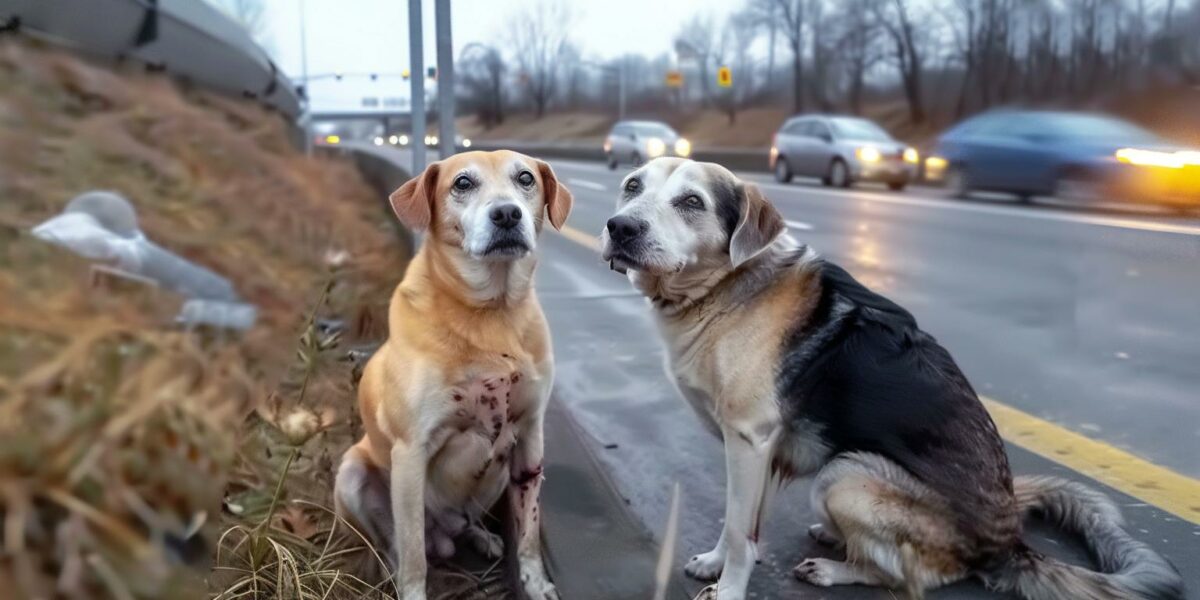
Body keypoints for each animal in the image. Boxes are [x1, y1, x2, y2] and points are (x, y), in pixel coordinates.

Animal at [331, 150, 568, 600]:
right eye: (463, 183)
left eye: (525, 178)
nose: (507, 214)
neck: (491, 312)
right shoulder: (410, 455)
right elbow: (413, 557)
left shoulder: (530, 435)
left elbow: (528, 532)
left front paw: (536, 582)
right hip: (352, 474)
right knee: (397, 545)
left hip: (498, 470)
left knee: (470, 521)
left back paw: (482, 536)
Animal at [600, 157, 1180, 597]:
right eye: (632, 187)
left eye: (691, 202)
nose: (620, 227)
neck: (726, 285)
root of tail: (1008, 542)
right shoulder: (754, 453)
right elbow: (739, 523)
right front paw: (715, 563)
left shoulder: (748, 442)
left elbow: (741, 533)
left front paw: (728, 590)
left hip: (845, 474)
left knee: (921, 574)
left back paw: (834, 569)